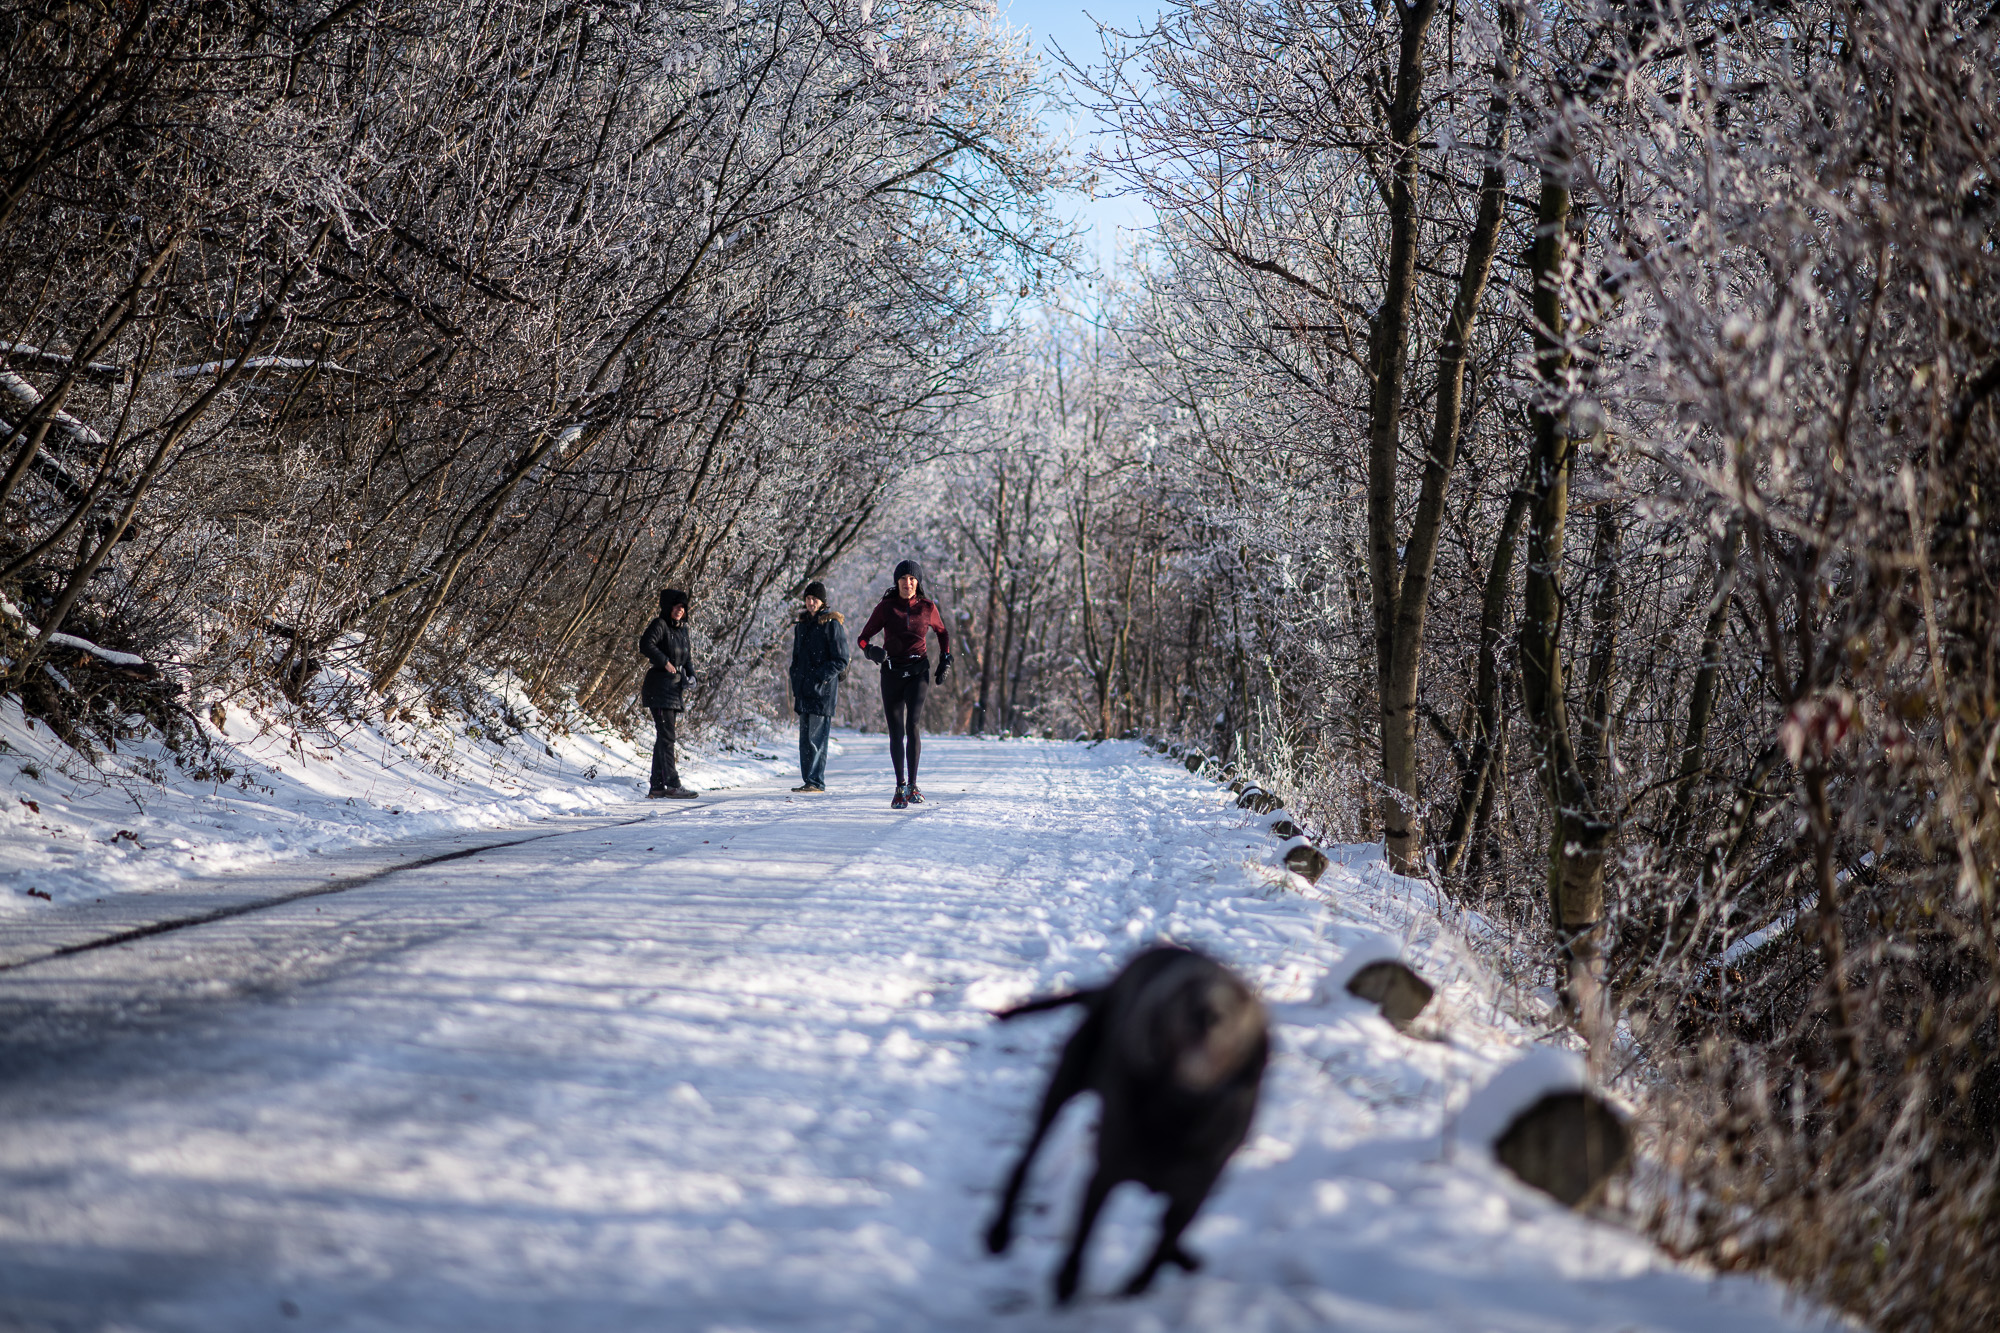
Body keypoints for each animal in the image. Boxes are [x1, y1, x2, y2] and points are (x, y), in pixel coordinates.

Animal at [980, 944, 1264, 1296]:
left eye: (1241, 1002)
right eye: (1180, 992)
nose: (1209, 1013)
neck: (1178, 1116)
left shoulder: (1193, 1192)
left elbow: (1157, 1253)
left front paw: (1139, 1288)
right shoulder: (1106, 1174)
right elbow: (1084, 1238)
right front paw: (1068, 1285)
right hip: (1063, 1087)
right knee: (1026, 1158)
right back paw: (999, 1232)